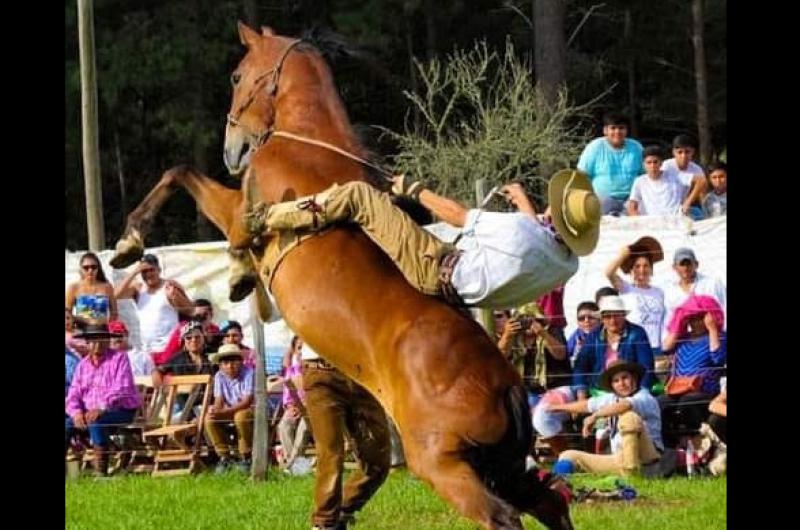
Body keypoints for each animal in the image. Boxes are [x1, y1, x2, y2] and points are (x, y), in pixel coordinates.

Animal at [114, 22, 576, 528]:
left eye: (236, 76)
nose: (232, 150)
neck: (305, 140)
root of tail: (510, 388)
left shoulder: (239, 210)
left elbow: (181, 174)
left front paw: (131, 243)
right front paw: (236, 275)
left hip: (444, 465)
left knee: (504, 517)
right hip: (502, 466)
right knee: (552, 503)